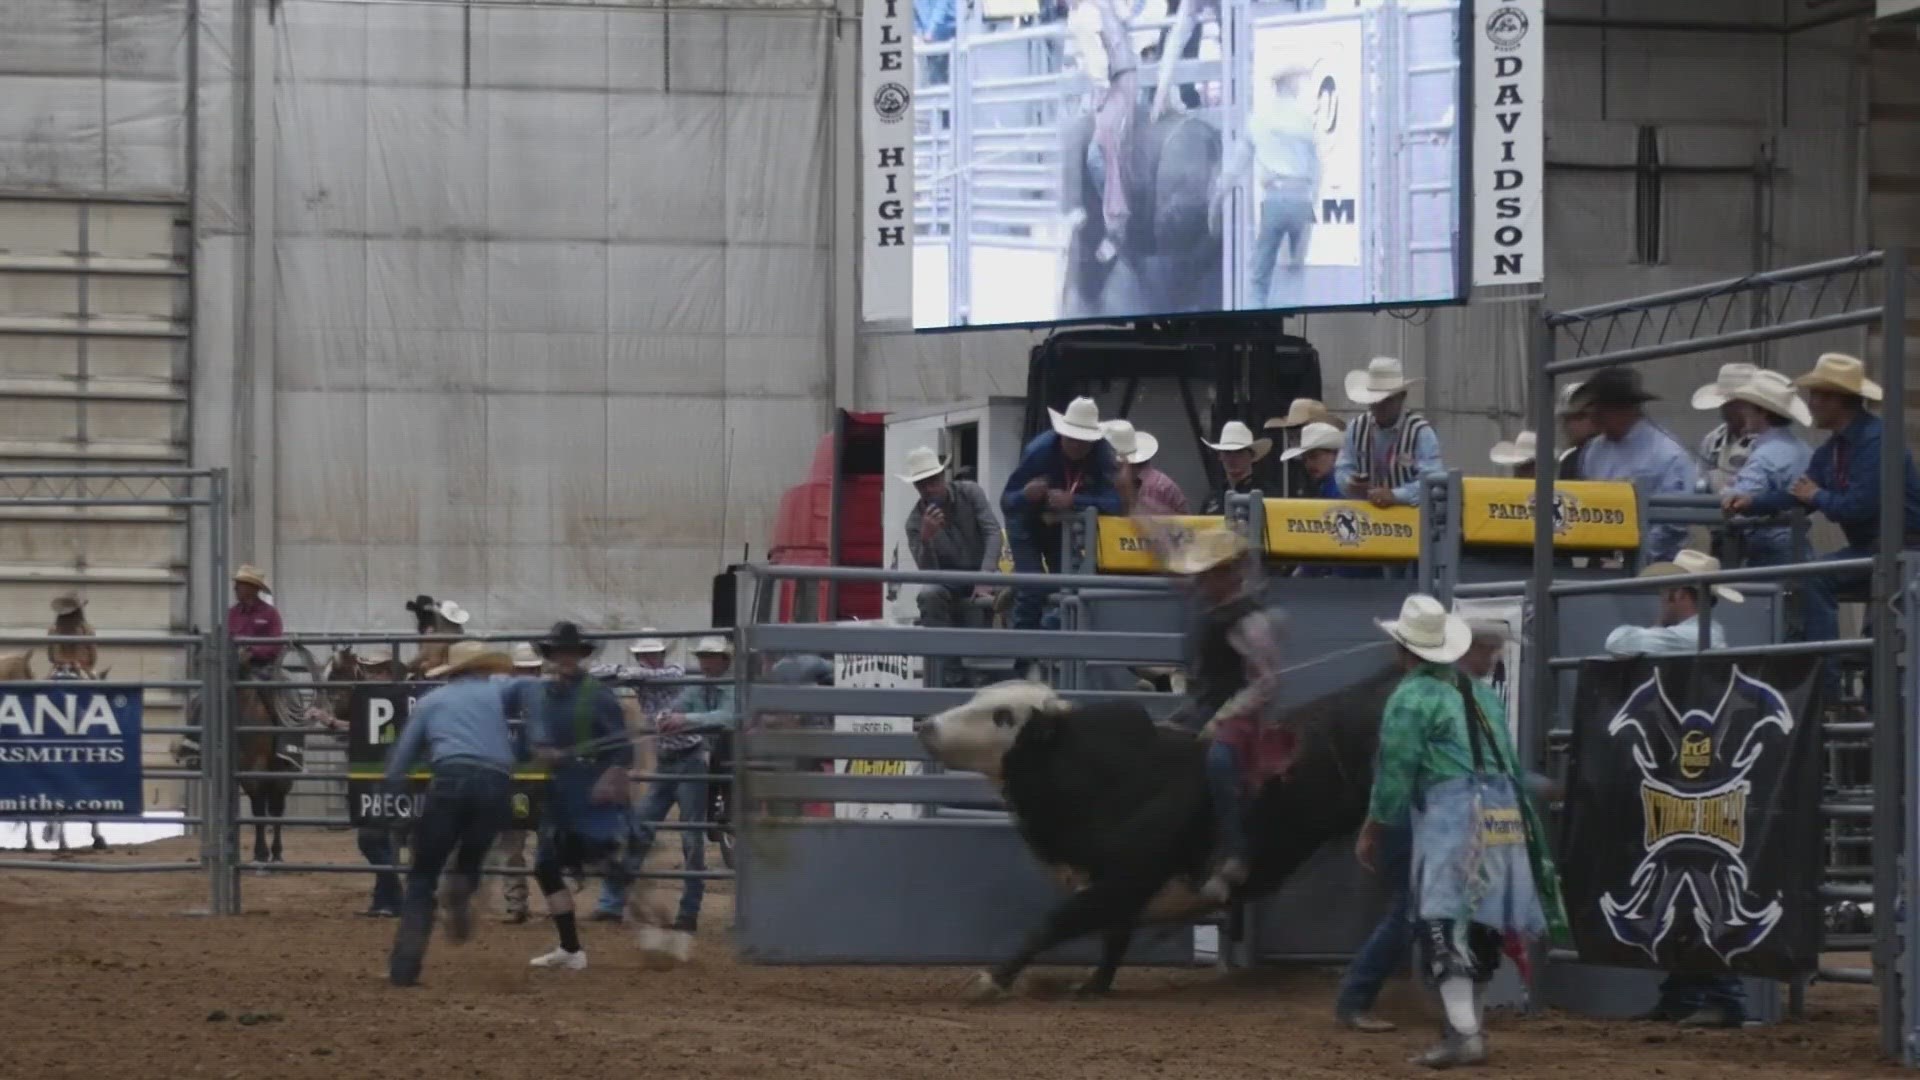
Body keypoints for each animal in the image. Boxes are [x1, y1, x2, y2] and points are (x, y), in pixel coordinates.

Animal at [913, 668, 1397, 999]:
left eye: (1002, 717)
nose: (923, 724)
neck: (1115, 778)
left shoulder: (1125, 879)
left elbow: (1056, 922)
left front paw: (991, 979)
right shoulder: (1116, 887)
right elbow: (1114, 939)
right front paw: (1093, 985)